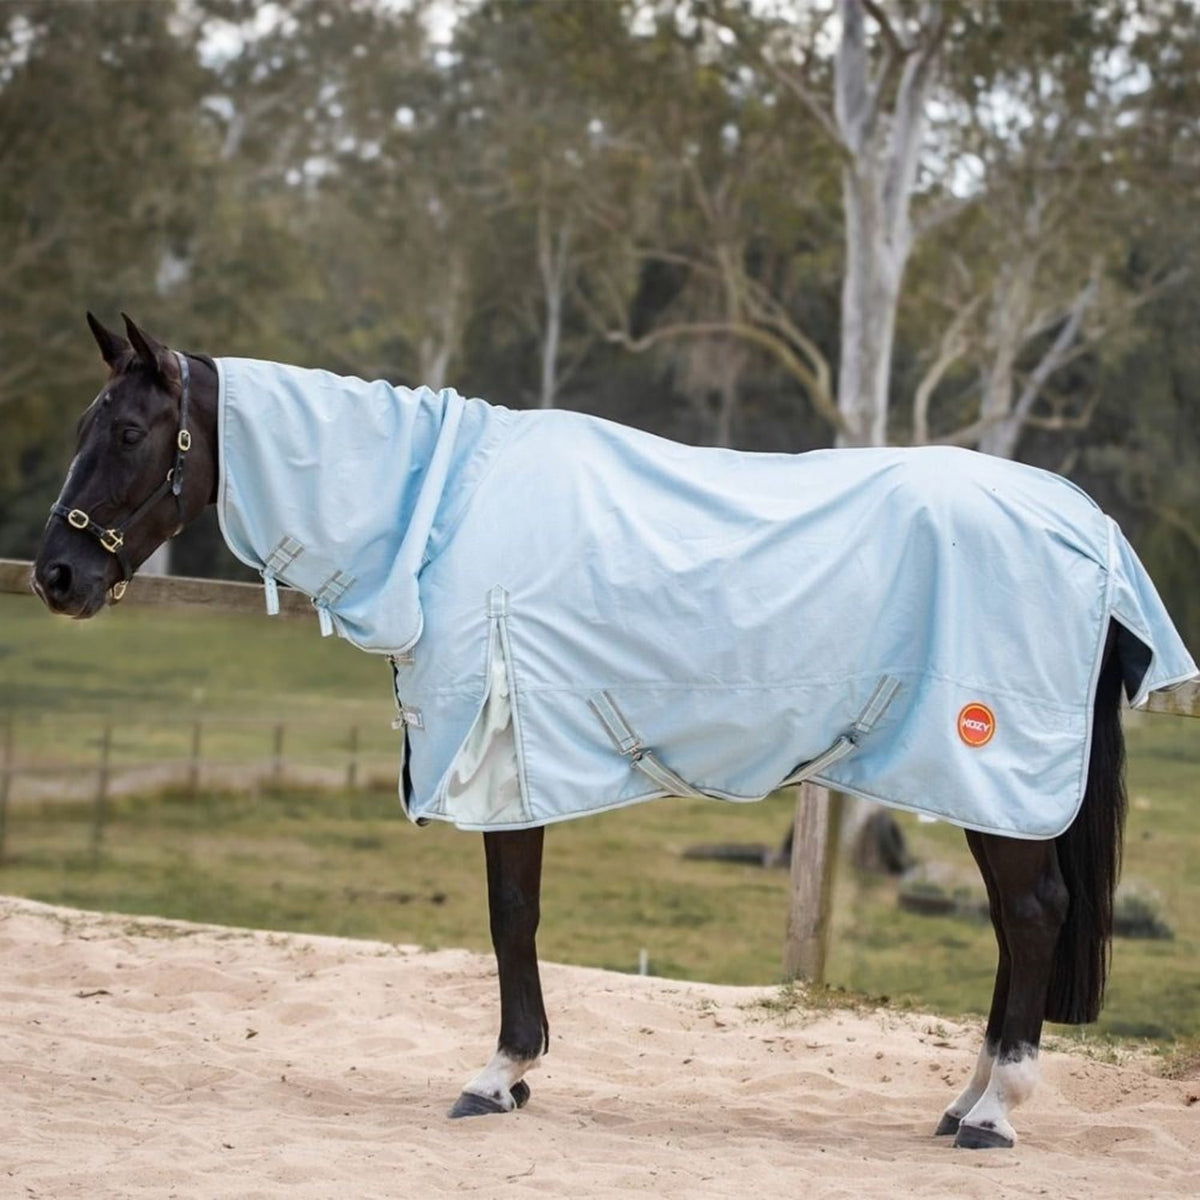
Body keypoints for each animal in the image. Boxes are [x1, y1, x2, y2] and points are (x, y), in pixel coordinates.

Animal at [31, 313, 1196, 1150]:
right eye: (84, 427)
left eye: (126, 432)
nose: (58, 576)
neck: (439, 510)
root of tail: (1088, 527)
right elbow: (519, 919)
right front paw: (514, 1075)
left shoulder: (502, 758)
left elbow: (510, 917)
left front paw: (499, 1076)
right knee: (1015, 923)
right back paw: (963, 1103)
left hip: (988, 774)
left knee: (1032, 915)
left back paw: (995, 1112)